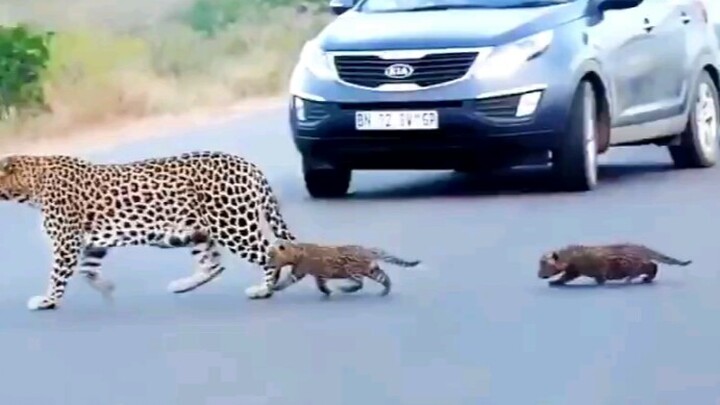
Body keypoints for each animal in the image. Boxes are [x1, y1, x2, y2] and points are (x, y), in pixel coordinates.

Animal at [0, 150, 297, 311]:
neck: (30, 186)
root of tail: (247, 164)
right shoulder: (92, 242)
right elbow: (87, 270)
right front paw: (106, 288)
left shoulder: (66, 243)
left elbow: (57, 276)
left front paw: (47, 301)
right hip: (200, 229)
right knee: (213, 264)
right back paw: (182, 286)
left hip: (232, 225)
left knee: (272, 252)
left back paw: (265, 289)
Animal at [267, 239, 421, 297]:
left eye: (270, 255)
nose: (267, 263)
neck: (296, 252)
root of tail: (369, 250)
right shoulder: (320, 274)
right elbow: (321, 285)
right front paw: (327, 292)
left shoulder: (299, 271)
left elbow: (287, 281)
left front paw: (275, 287)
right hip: (371, 270)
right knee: (384, 278)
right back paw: (385, 291)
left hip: (352, 269)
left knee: (359, 283)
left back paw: (345, 289)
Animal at [538, 243, 692, 286]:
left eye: (544, 264)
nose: (539, 275)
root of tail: (644, 249)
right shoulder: (574, 269)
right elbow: (567, 276)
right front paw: (556, 281)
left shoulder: (594, 264)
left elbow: (600, 273)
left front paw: (600, 281)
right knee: (652, 266)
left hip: (634, 263)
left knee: (648, 266)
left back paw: (632, 278)